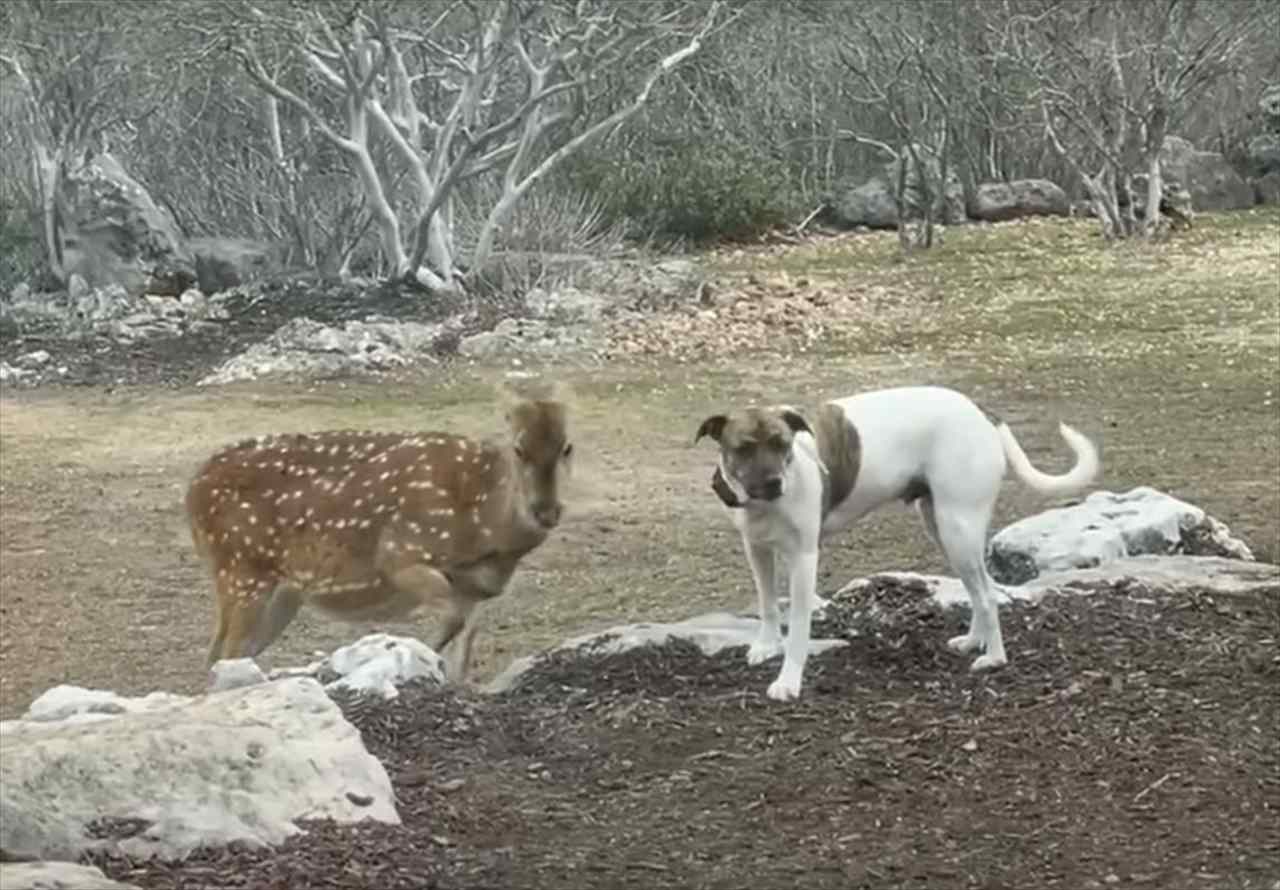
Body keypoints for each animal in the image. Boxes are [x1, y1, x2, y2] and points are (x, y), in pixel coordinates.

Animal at [185, 379, 576, 681]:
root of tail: (192, 493)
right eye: (519, 449)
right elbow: (449, 622)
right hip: (241, 567)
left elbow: (463, 650)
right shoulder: (400, 554)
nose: (546, 510)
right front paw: (416, 659)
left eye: (567, 447)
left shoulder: (474, 590)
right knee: (223, 653)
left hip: (281, 592)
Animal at [701, 389, 1100, 701]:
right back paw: (975, 640)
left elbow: (798, 628)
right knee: (980, 590)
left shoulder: (803, 559)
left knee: (987, 595)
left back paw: (994, 658)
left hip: (957, 530)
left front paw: (788, 681)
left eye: (781, 445)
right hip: (946, 530)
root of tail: (978, 410)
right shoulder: (757, 550)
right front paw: (766, 647)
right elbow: (767, 605)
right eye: (743, 448)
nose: (773, 482)